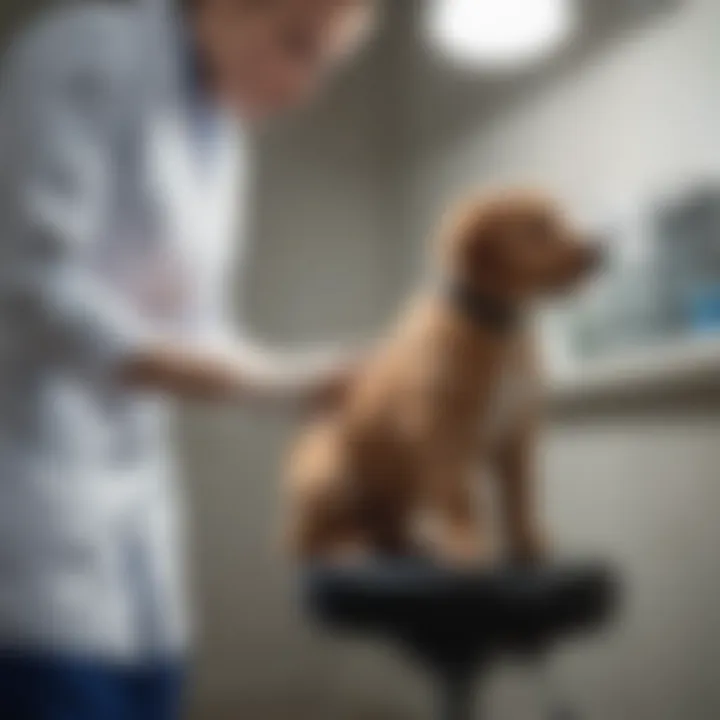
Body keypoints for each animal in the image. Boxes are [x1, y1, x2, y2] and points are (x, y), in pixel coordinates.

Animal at [284, 188, 600, 564]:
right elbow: (459, 495)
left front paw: (528, 540)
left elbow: (520, 495)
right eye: (536, 229)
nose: (602, 250)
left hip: (398, 492)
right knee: (308, 541)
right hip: (329, 476)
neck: (497, 327)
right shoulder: (443, 434)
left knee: (384, 525)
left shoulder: (517, 434)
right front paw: (467, 544)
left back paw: (406, 541)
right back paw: (352, 547)